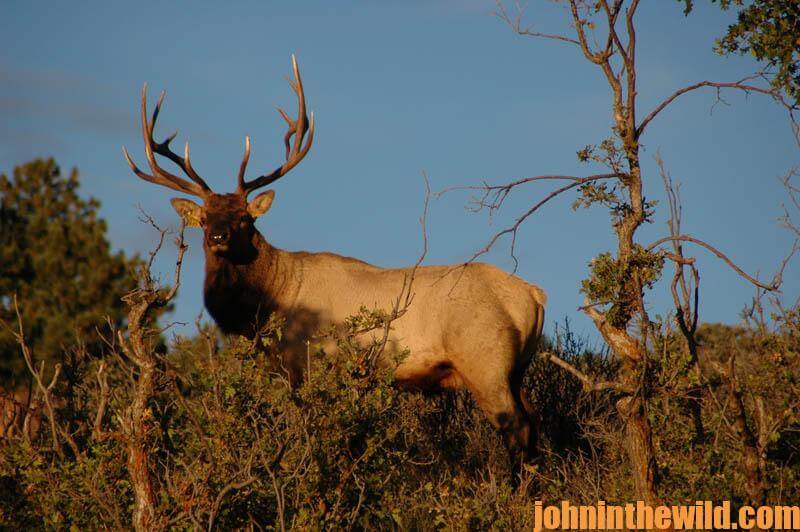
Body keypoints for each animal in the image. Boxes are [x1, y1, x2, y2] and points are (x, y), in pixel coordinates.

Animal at [123, 56, 547, 460]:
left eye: (244, 217)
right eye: (205, 218)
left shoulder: (310, 366)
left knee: (515, 426)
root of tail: (533, 295)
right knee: (534, 422)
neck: (267, 307)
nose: (218, 236)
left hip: (485, 361)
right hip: (517, 369)